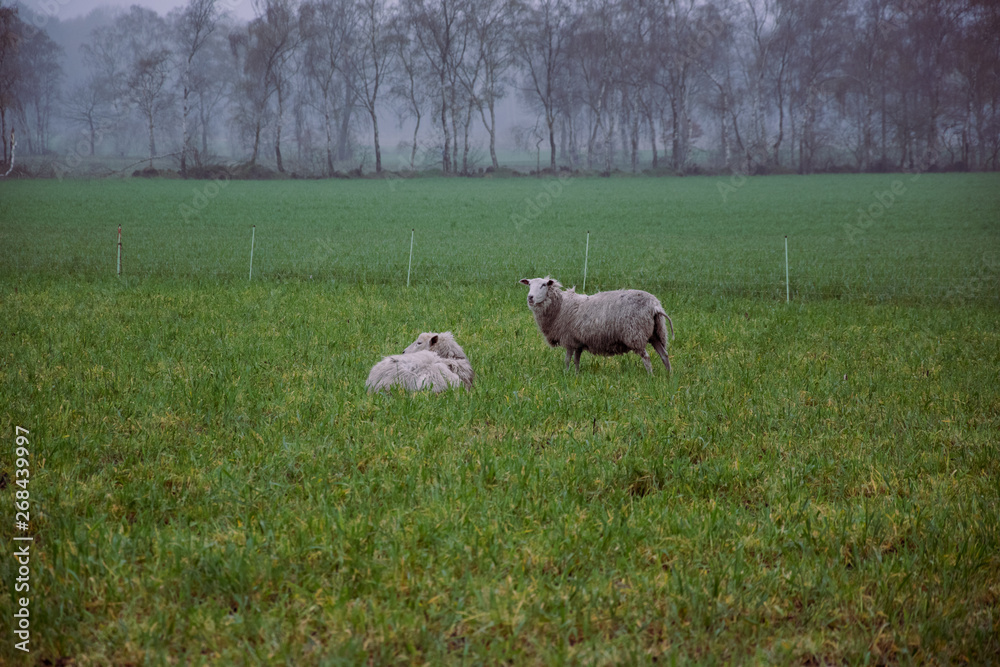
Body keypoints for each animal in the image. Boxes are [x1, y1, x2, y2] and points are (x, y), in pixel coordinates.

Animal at [519, 276, 674, 374]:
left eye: (543, 285)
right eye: (529, 285)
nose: (530, 297)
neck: (560, 306)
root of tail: (655, 306)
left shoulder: (569, 340)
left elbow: (568, 359)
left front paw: (566, 374)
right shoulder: (578, 342)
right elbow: (576, 360)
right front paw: (576, 374)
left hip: (636, 334)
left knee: (646, 357)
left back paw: (650, 376)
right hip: (657, 333)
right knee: (664, 354)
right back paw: (669, 375)